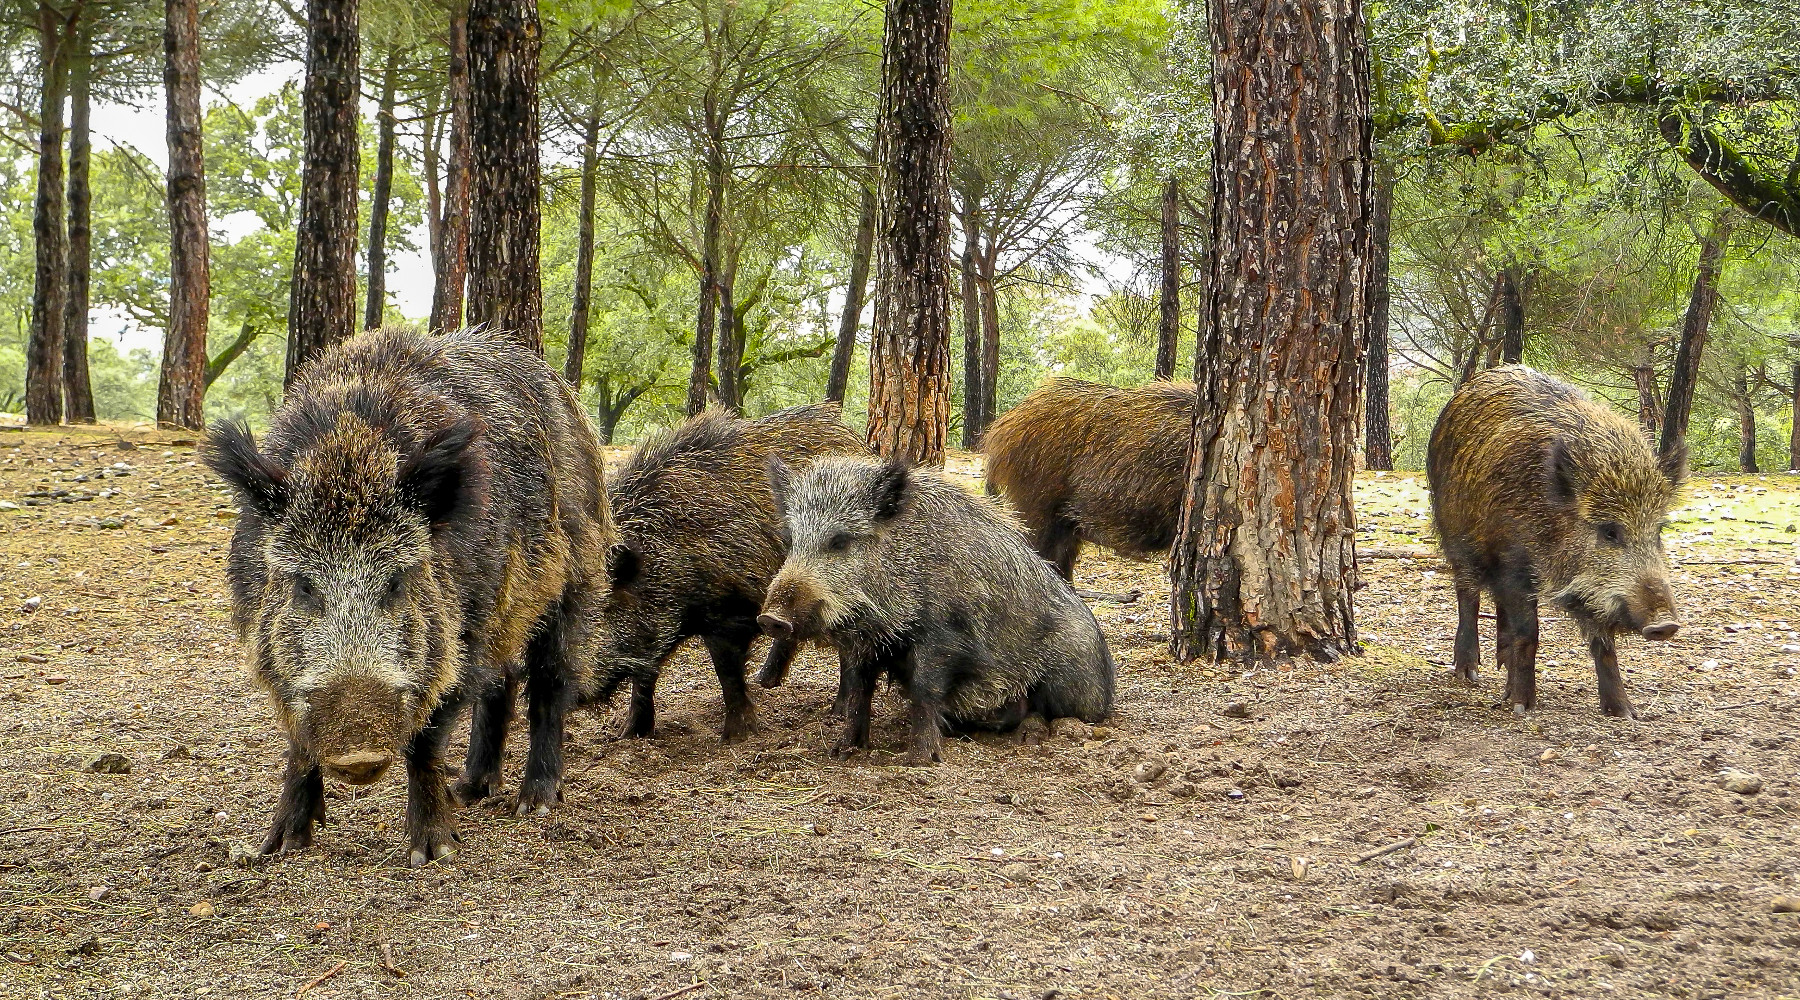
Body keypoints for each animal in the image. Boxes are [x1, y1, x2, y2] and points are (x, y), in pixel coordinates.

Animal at [204, 327, 614, 864]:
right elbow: (299, 741)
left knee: (549, 681)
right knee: (501, 681)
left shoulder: (461, 632)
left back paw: (534, 804)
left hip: (575, 576)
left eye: (396, 582)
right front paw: (276, 848)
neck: (350, 451)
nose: (359, 749)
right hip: (504, 613)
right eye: (303, 585)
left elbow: (426, 739)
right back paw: (472, 790)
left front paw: (434, 854)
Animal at [758, 457, 1114, 764]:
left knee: (1056, 713)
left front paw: (917, 760)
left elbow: (924, 692)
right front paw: (841, 751)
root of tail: (1107, 685)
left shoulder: (944, 636)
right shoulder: (865, 646)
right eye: (791, 541)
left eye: (840, 541)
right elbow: (859, 696)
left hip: (1070, 676)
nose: (770, 618)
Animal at [1427, 365, 1684, 718]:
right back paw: (1469, 673)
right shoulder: (1514, 561)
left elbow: (1604, 642)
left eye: (1658, 530)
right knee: (1468, 594)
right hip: (1455, 532)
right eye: (1609, 531)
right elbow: (1528, 631)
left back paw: (1501, 665)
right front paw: (1521, 706)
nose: (1666, 625)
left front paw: (1624, 713)